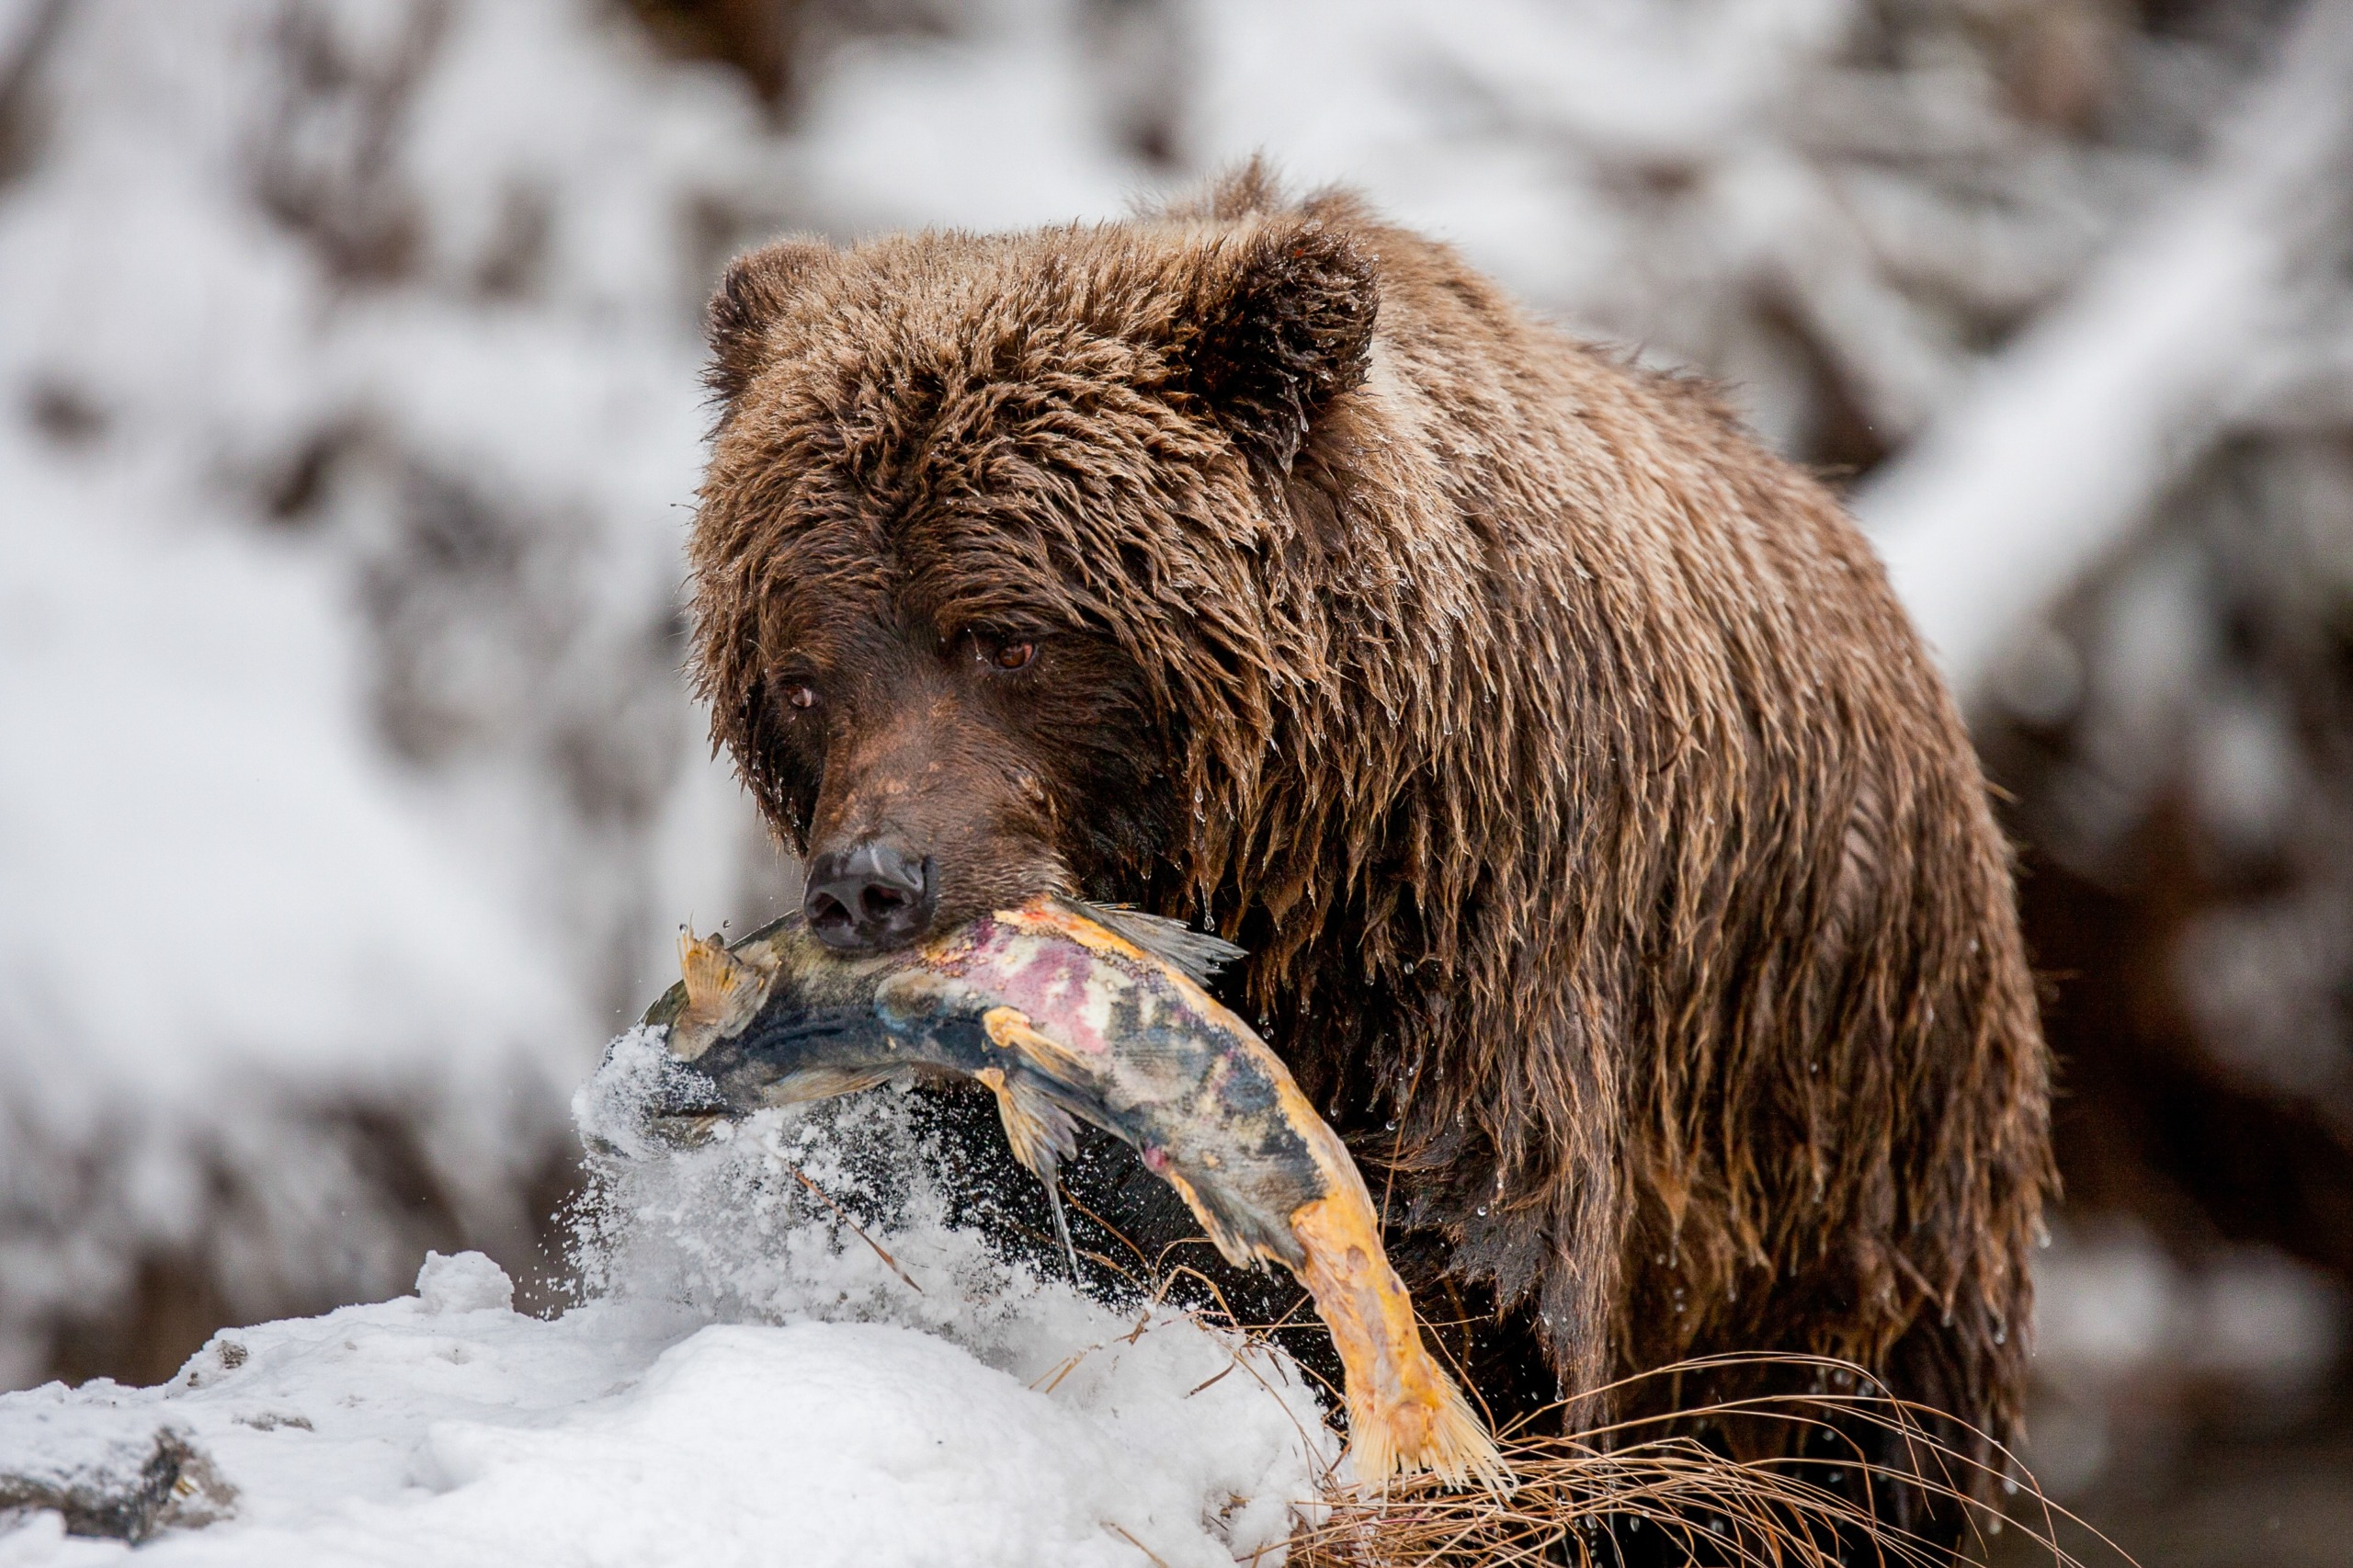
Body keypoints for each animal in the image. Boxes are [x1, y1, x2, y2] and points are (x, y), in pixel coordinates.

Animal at [687, 165, 2052, 1535]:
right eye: (802, 679)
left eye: (1003, 637)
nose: (871, 882)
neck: (1289, 835)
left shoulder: (1488, 908)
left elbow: (1479, 1261)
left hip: (1850, 1122)